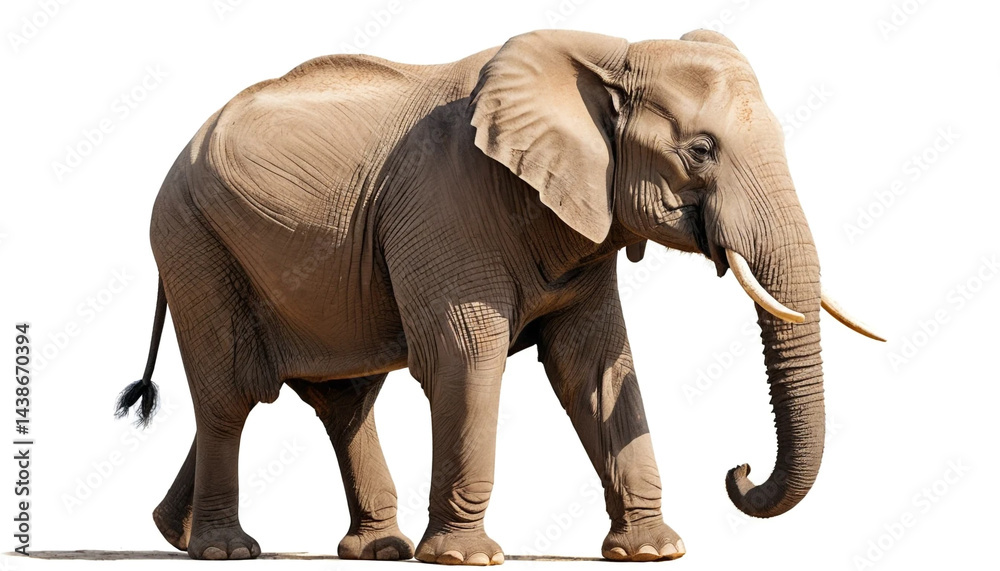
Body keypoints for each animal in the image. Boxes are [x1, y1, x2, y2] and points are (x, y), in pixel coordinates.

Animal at [115, 29, 882, 563]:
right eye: (701, 150)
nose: (738, 469)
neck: (607, 54)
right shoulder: (446, 205)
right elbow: (464, 357)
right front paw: (467, 558)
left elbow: (594, 367)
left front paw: (654, 551)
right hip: (192, 242)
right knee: (232, 392)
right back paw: (225, 550)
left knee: (341, 400)